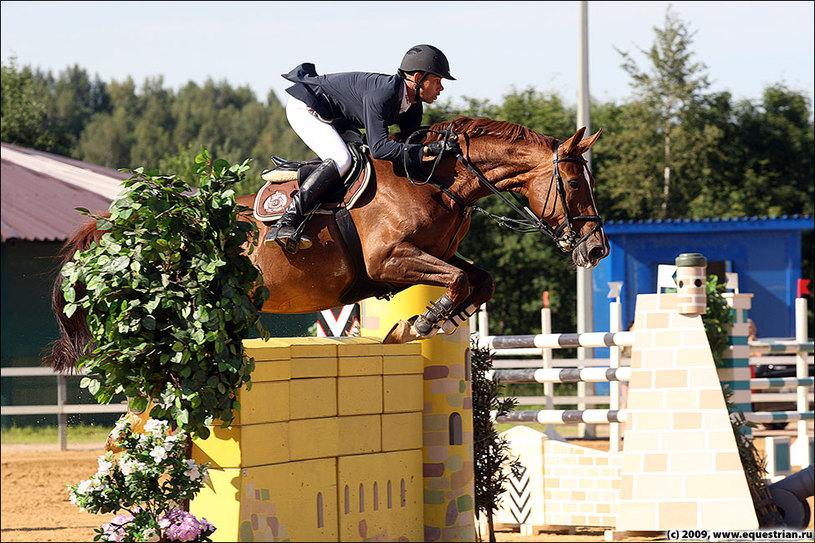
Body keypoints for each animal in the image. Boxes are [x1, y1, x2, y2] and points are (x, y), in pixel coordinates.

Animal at [43, 117, 604, 376]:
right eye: (576, 183)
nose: (596, 250)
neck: (433, 178)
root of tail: (125, 227)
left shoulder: (434, 255)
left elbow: (479, 279)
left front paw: (435, 320)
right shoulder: (389, 261)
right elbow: (464, 278)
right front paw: (419, 323)